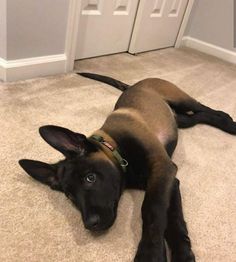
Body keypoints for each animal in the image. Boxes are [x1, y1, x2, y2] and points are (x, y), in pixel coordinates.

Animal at [18, 72, 236, 262]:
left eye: (90, 178)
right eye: (70, 196)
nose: (90, 224)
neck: (116, 148)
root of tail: (134, 85)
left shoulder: (163, 169)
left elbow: (152, 209)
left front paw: (150, 253)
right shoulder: (170, 181)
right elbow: (173, 219)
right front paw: (181, 254)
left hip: (179, 99)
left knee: (203, 108)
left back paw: (228, 122)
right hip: (179, 120)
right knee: (198, 116)